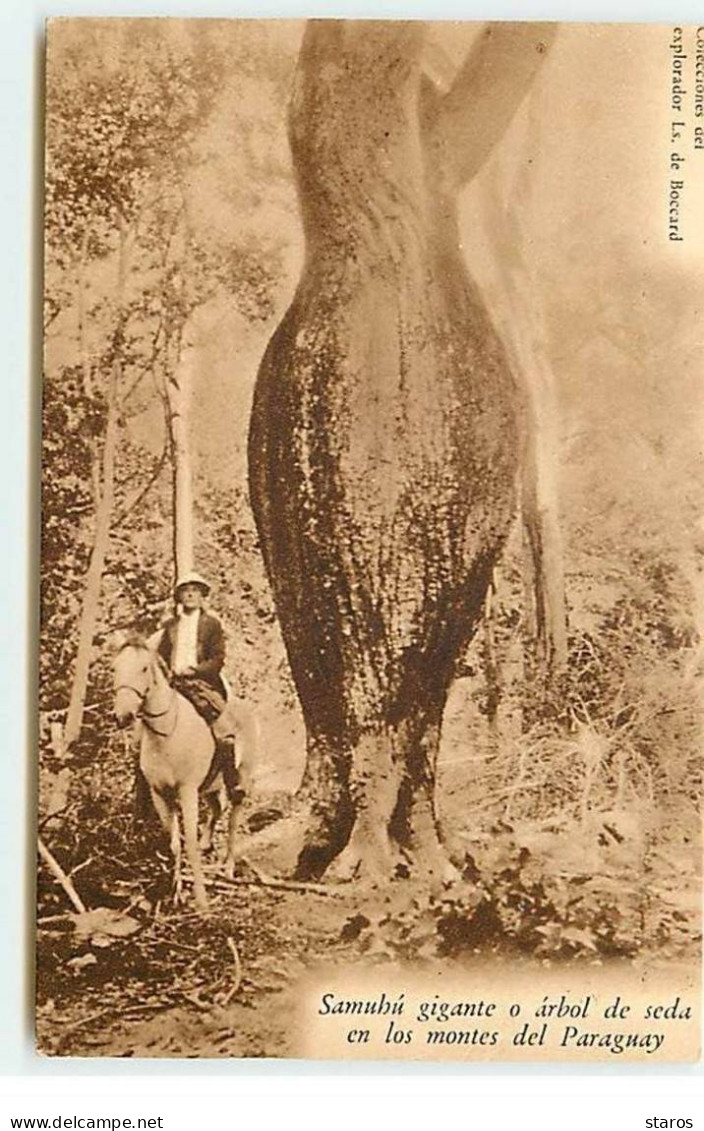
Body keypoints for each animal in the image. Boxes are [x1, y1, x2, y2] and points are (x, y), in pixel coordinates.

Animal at [114, 637, 258, 909]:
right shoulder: (160, 794)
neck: (167, 733)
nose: (122, 716)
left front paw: (201, 901)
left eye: (144, 669)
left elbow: (188, 841)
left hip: (241, 779)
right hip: (210, 786)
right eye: (115, 668)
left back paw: (228, 867)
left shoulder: (187, 791)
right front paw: (176, 893)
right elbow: (174, 844)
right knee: (217, 809)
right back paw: (207, 844)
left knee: (233, 818)